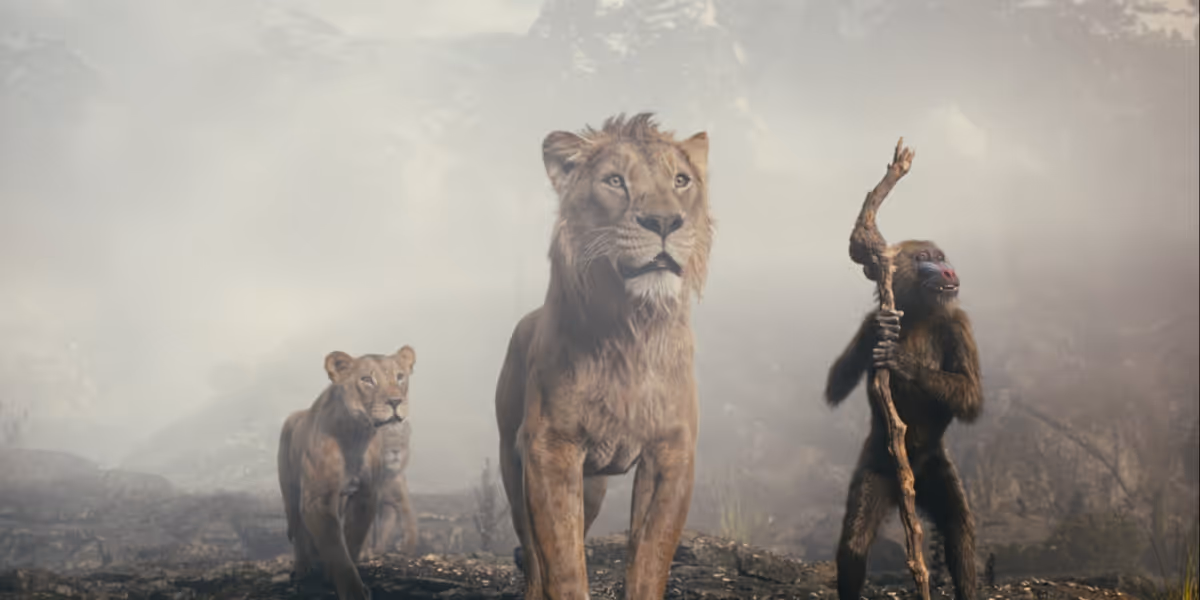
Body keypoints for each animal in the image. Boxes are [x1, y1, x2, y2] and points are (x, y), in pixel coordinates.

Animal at [277, 346, 416, 600]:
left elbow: (351, 542)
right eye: (367, 380)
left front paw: (334, 577)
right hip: (290, 491)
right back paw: (302, 569)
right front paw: (352, 591)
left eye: (400, 377)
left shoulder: (365, 496)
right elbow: (336, 549)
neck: (356, 436)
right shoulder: (317, 501)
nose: (395, 401)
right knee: (298, 529)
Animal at [494, 113, 713, 600]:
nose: (664, 220)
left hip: (592, 484)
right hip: (513, 463)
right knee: (532, 552)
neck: (632, 328)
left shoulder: (671, 452)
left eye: (681, 180)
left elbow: (650, 558)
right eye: (615, 181)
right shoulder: (550, 449)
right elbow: (562, 562)